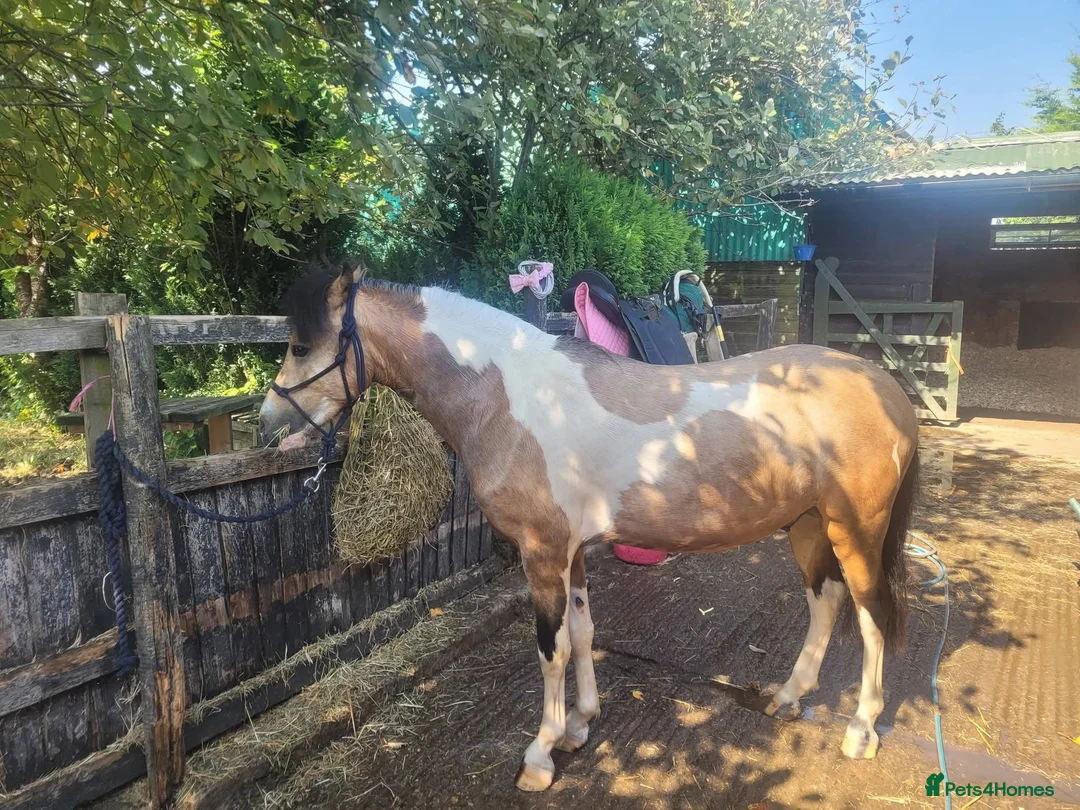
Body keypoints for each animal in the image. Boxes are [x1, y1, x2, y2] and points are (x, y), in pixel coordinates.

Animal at [258, 262, 920, 792]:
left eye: (300, 345)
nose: (268, 424)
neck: (509, 397)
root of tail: (886, 388)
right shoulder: (571, 553)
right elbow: (581, 632)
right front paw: (579, 725)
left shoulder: (542, 552)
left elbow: (550, 649)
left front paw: (541, 755)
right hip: (809, 525)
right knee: (825, 602)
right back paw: (788, 697)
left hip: (856, 531)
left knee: (872, 617)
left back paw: (861, 729)